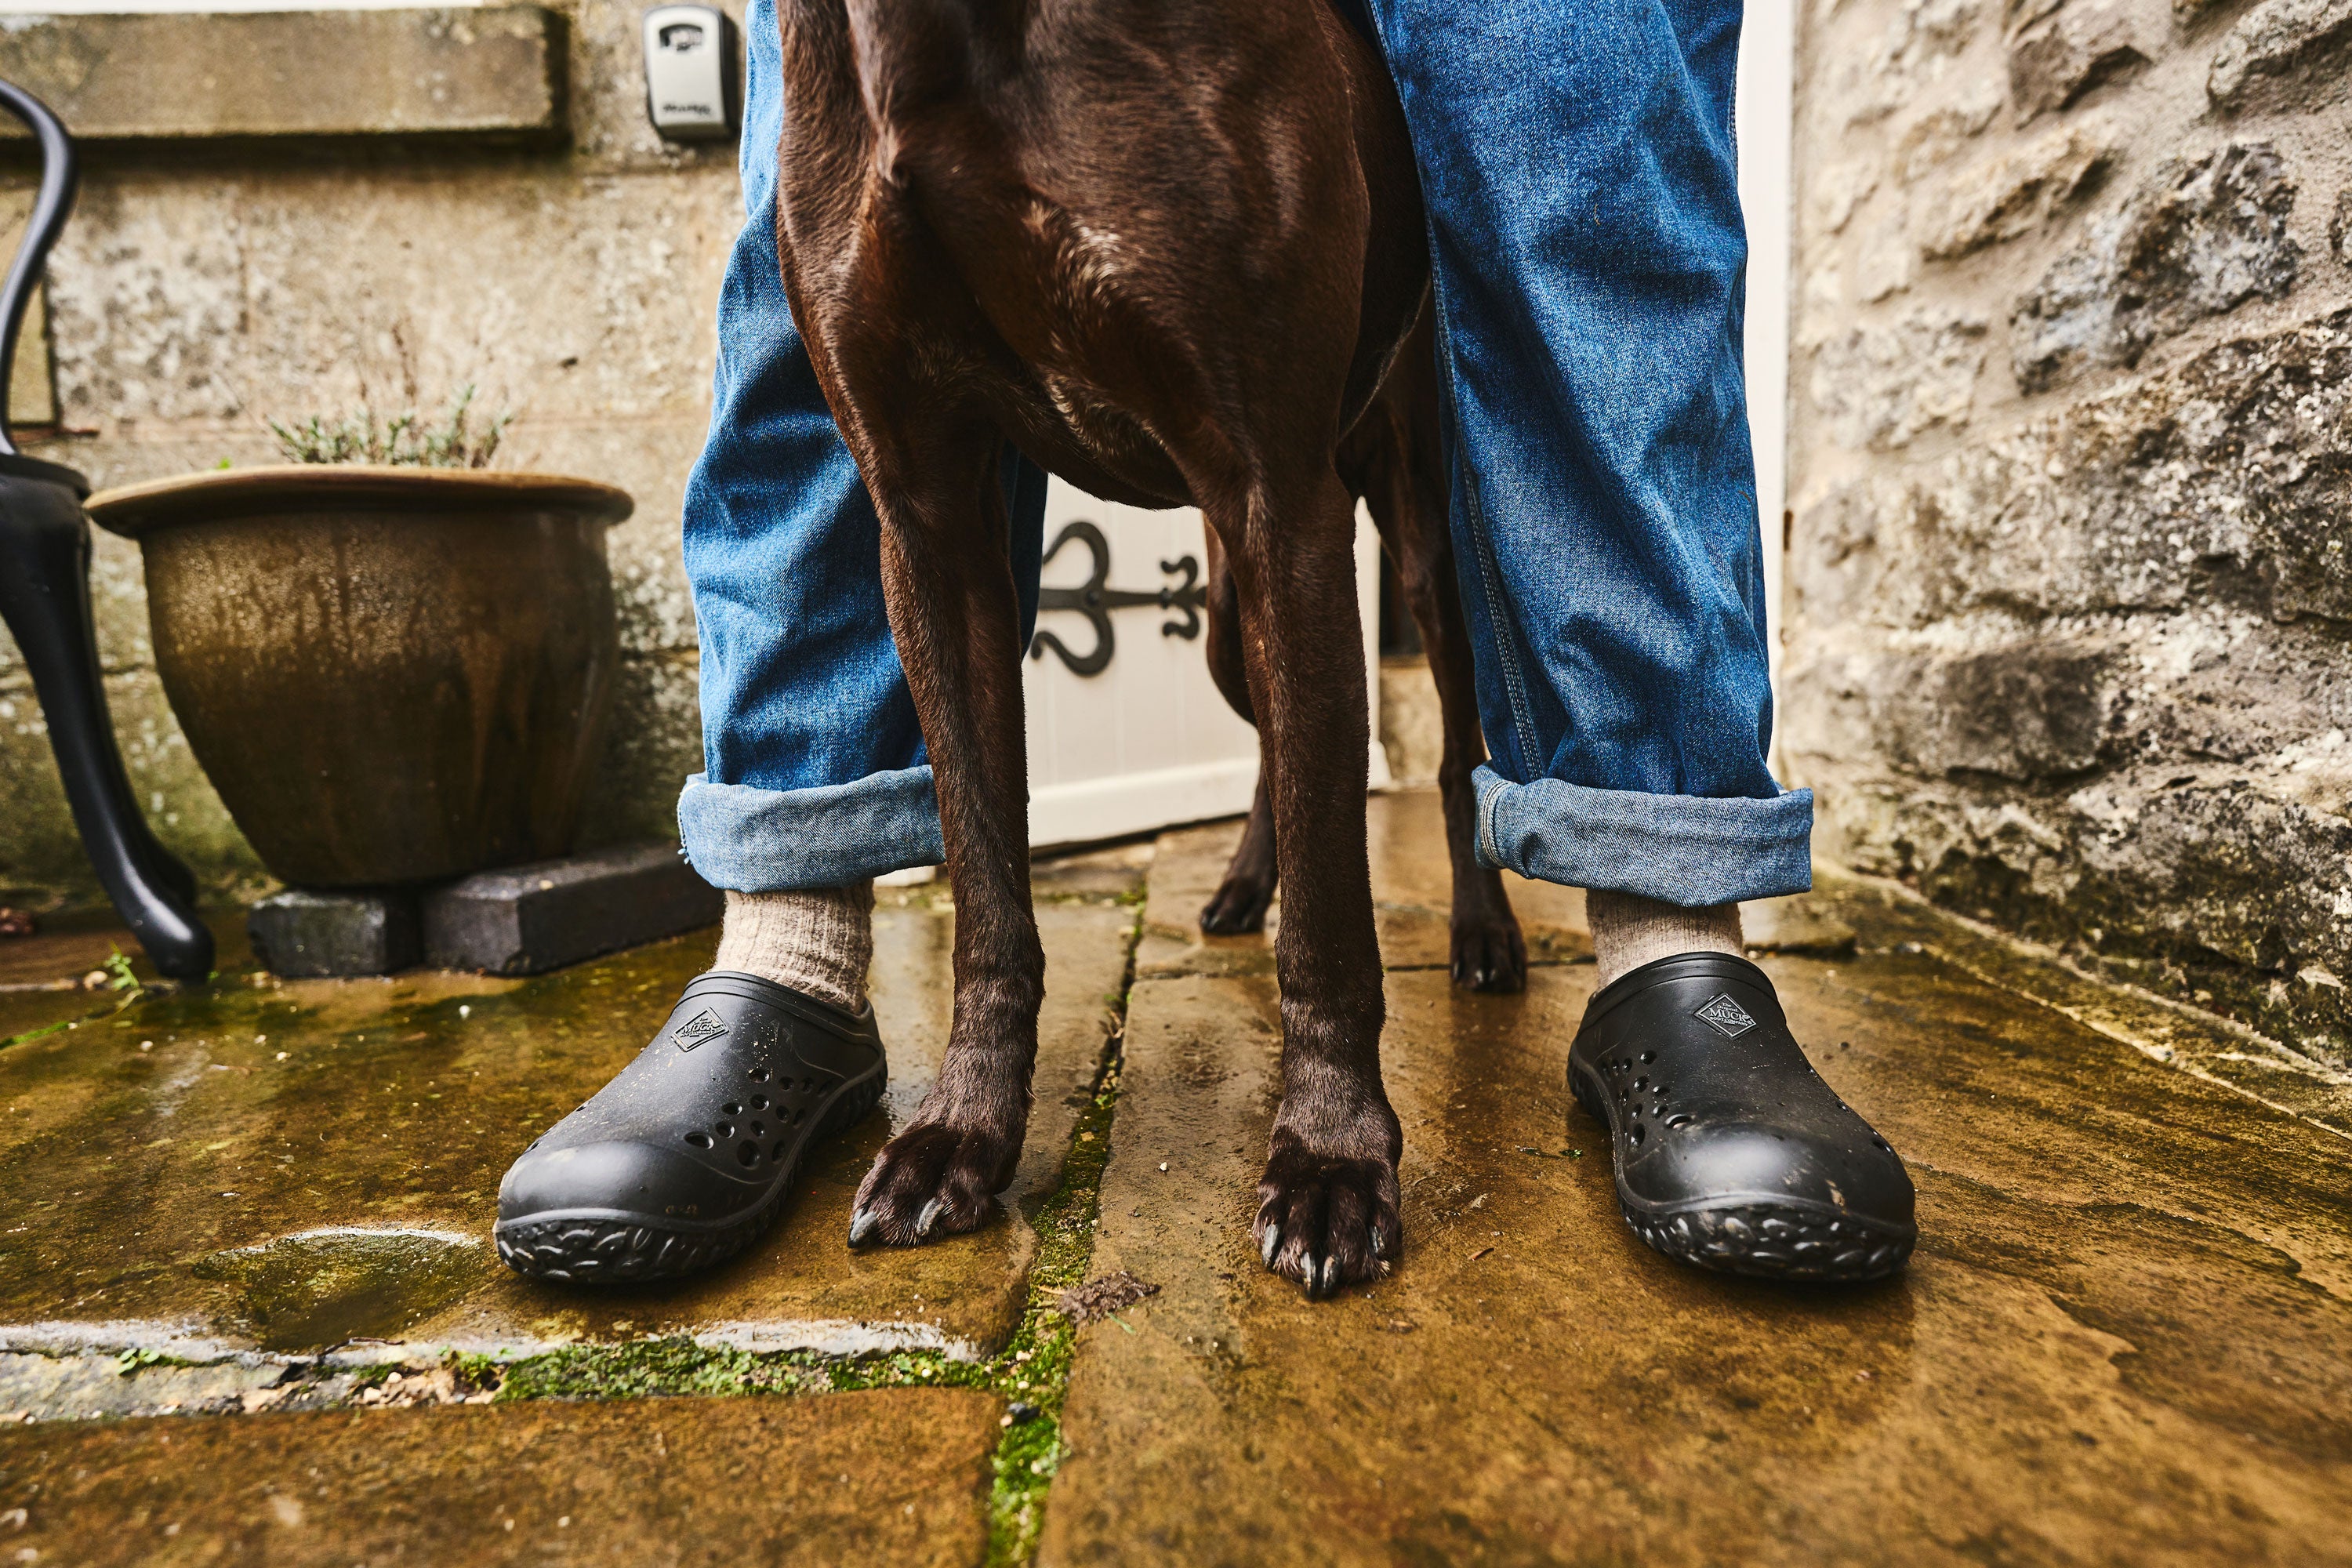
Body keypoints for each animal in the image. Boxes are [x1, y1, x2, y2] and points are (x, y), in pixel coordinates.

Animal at [781, 0, 1421, 1298]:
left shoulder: (1284, 494)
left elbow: (1336, 896)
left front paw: (1332, 1159)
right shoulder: (926, 520)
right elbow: (984, 879)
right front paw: (959, 1135)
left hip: (1400, 522)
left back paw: (1485, 942)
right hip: (1229, 622)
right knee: (1280, 738)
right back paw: (1242, 886)